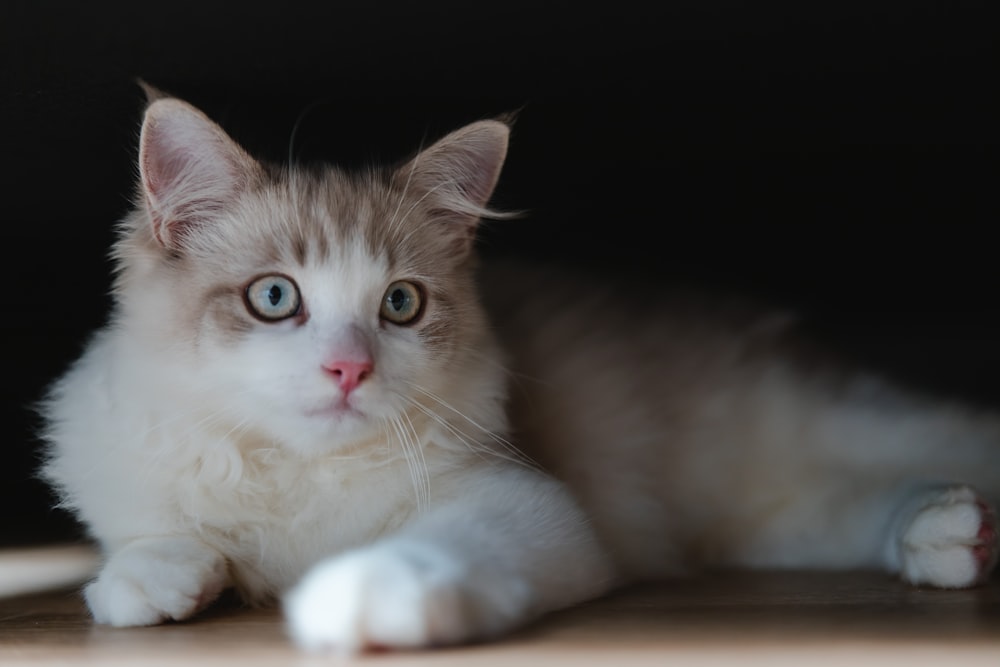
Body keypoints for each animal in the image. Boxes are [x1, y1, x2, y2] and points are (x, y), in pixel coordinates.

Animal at [41, 88, 1000, 652]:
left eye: (401, 304)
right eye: (275, 297)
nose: (348, 369)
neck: (300, 479)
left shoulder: (524, 500)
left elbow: (423, 552)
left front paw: (360, 597)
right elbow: (149, 542)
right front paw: (161, 577)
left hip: (845, 420)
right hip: (770, 521)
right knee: (864, 507)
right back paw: (948, 536)